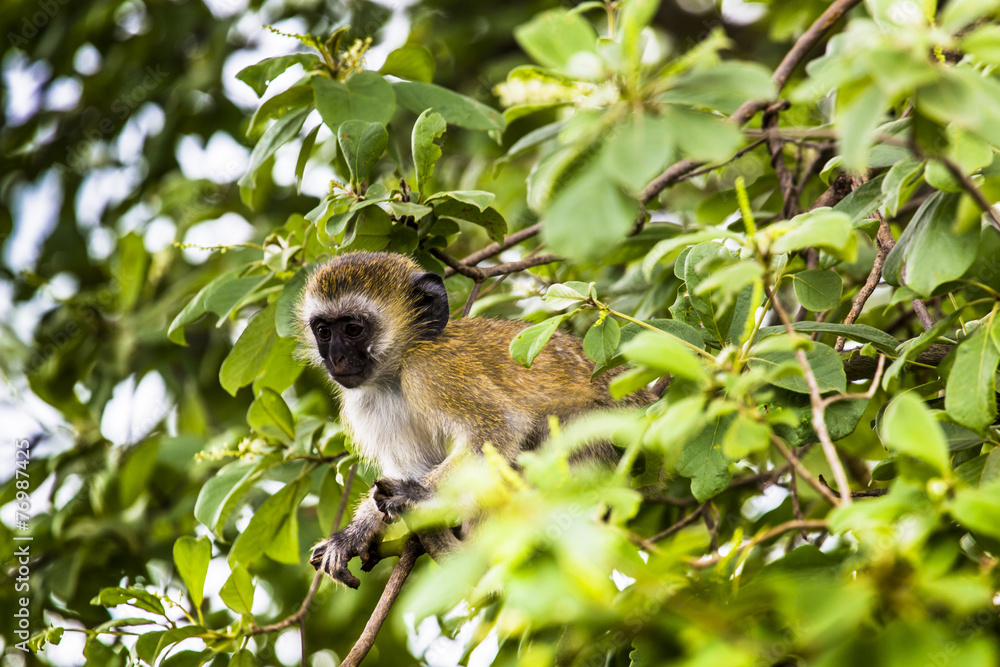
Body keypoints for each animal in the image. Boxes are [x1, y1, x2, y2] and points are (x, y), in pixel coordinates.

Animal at [297, 251, 651, 588]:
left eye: (353, 329)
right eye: (324, 331)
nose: (336, 358)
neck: (394, 374)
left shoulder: (429, 369)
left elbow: (501, 426)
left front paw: (418, 495)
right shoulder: (367, 403)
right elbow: (410, 468)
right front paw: (353, 534)